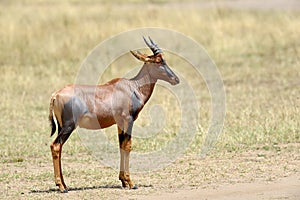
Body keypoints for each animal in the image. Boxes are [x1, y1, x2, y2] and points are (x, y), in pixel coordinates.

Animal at [49, 37, 179, 192]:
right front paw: (131, 183)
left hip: (62, 126)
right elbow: (128, 145)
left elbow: (121, 145)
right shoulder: (129, 120)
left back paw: (64, 184)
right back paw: (61, 186)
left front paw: (123, 181)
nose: (176, 79)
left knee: (59, 147)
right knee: (55, 146)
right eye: (159, 61)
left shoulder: (119, 123)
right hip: (69, 126)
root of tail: (56, 95)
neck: (132, 87)